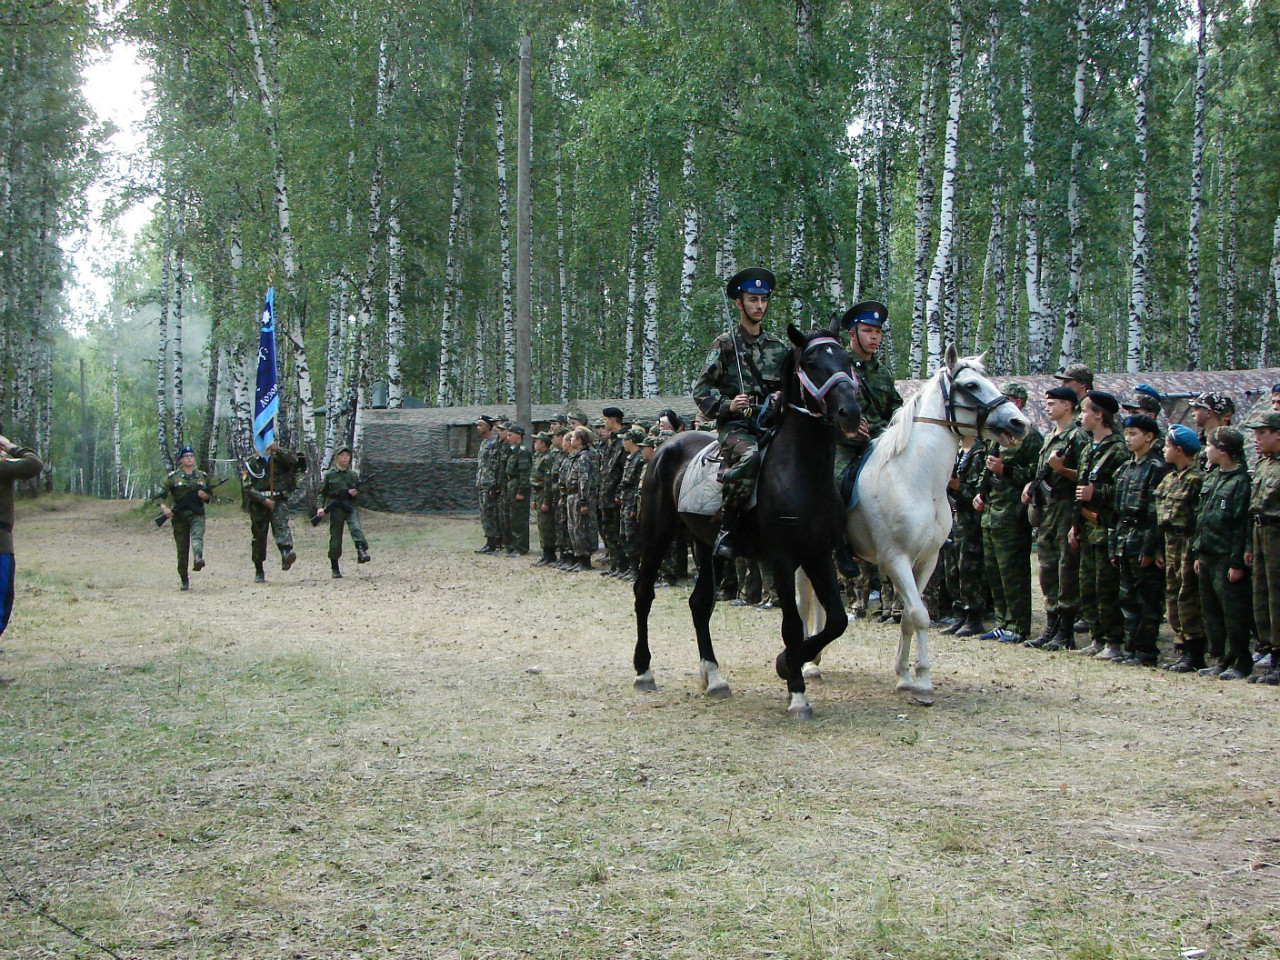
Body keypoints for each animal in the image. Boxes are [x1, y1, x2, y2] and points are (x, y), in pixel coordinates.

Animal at [629, 323, 860, 721]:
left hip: (706, 546)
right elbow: (792, 626)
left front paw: (787, 664)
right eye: (812, 362)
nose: (851, 411)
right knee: (644, 593)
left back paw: (714, 677)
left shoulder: (818, 555)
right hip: (656, 533)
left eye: (847, 358)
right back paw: (644, 670)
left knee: (699, 603)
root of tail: (665, 446)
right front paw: (796, 691)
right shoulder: (783, 560)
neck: (802, 474)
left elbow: (836, 620)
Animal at [798, 345, 1029, 706]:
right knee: (803, 602)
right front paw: (922, 683)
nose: (1020, 422)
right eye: (972, 385)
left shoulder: (927, 561)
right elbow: (920, 615)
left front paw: (906, 676)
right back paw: (807, 664)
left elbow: (910, 615)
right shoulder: (896, 560)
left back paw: (816, 659)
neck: (916, 479)